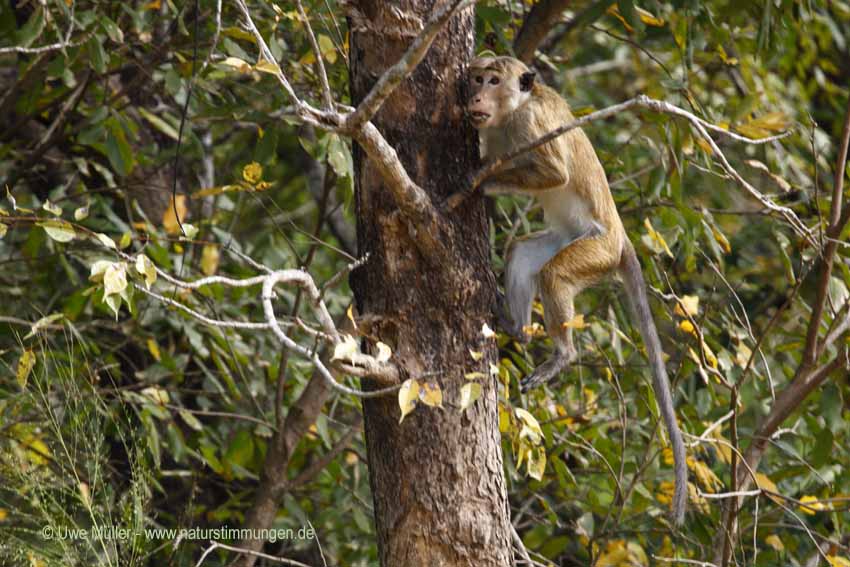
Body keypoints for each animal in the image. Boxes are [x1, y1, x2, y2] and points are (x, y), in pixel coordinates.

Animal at [454, 55, 684, 524]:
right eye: (477, 78)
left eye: (493, 80)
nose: (477, 95)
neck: (513, 110)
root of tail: (622, 239)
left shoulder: (533, 124)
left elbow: (553, 172)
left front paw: (481, 179)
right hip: (566, 238)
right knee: (525, 253)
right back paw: (516, 328)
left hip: (596, 250)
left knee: (555, 275)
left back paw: (562, 354)